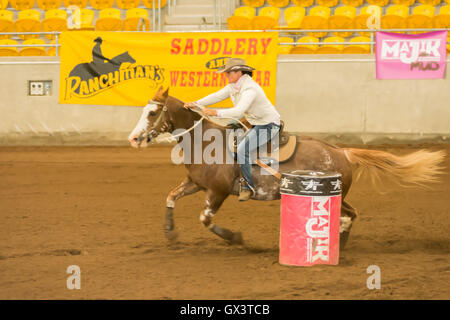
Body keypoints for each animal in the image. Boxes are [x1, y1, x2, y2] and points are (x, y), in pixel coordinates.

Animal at [128, 86, 444, 249]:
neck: (207, 142)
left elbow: (205, 219)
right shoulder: (196, 184)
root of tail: (342, 151)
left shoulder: (217, 192)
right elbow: (170, 196)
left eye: (153, 112)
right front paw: (170, 233)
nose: (133, 138)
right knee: (352, 214)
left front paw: (236, 238)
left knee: (348, 215)